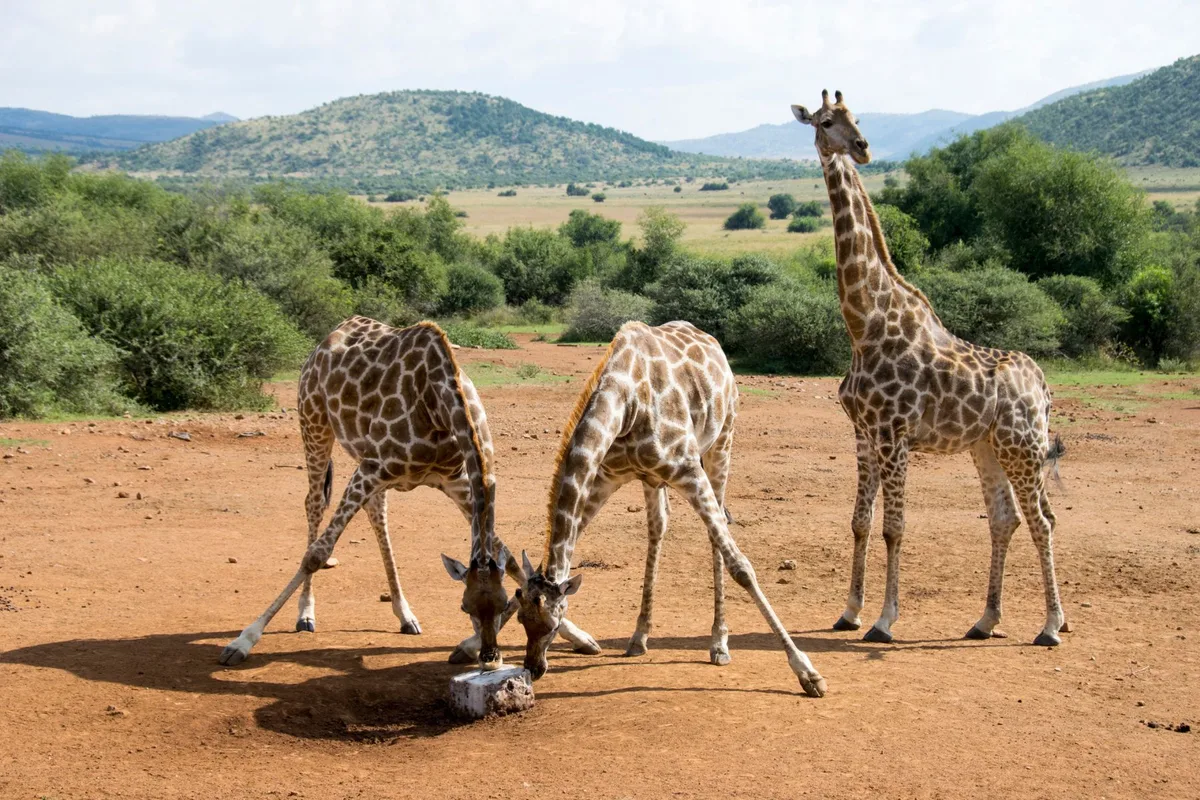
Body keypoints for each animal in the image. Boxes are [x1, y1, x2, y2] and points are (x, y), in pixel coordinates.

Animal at [218, 317, 599, 669]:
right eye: (463, 607)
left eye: (506, 603)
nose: (490, 657)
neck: (438, 404)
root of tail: (328, 339)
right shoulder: (373, 467)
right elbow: (316, 554)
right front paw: (244, 640)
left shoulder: (456, 481)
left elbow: (508, 554)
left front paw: (579, 635)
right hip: (314, 423)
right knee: (314, 506)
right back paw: (305, 614)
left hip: (364, 460)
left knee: (376, 512)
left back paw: (405, 615)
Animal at [513, 321, 827, 698]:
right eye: (520, 618)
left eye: (551, 621)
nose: (533, 668)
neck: (626, 401)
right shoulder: (605, 476)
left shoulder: (688, 469)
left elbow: (741, 567)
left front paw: (807, 671)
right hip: (652, 478)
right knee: (659, 526)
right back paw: (640, 636)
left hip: (722, 442)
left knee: (716, 532)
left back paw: (719, 643)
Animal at [791, 90, 1069, 647]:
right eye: (826, 121)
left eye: (858, 118)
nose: (863, 147)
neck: (864, 323)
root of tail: (1044, 387)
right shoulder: (863, 433)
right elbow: (859, 521)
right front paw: (848, 612)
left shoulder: (894, 434)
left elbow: (894, 527)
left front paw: (883, 621)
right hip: (988, 447)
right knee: (1005, 519)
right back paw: (986, 620)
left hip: (1023, 446)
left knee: (1042, 520)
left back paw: (1051, 626)